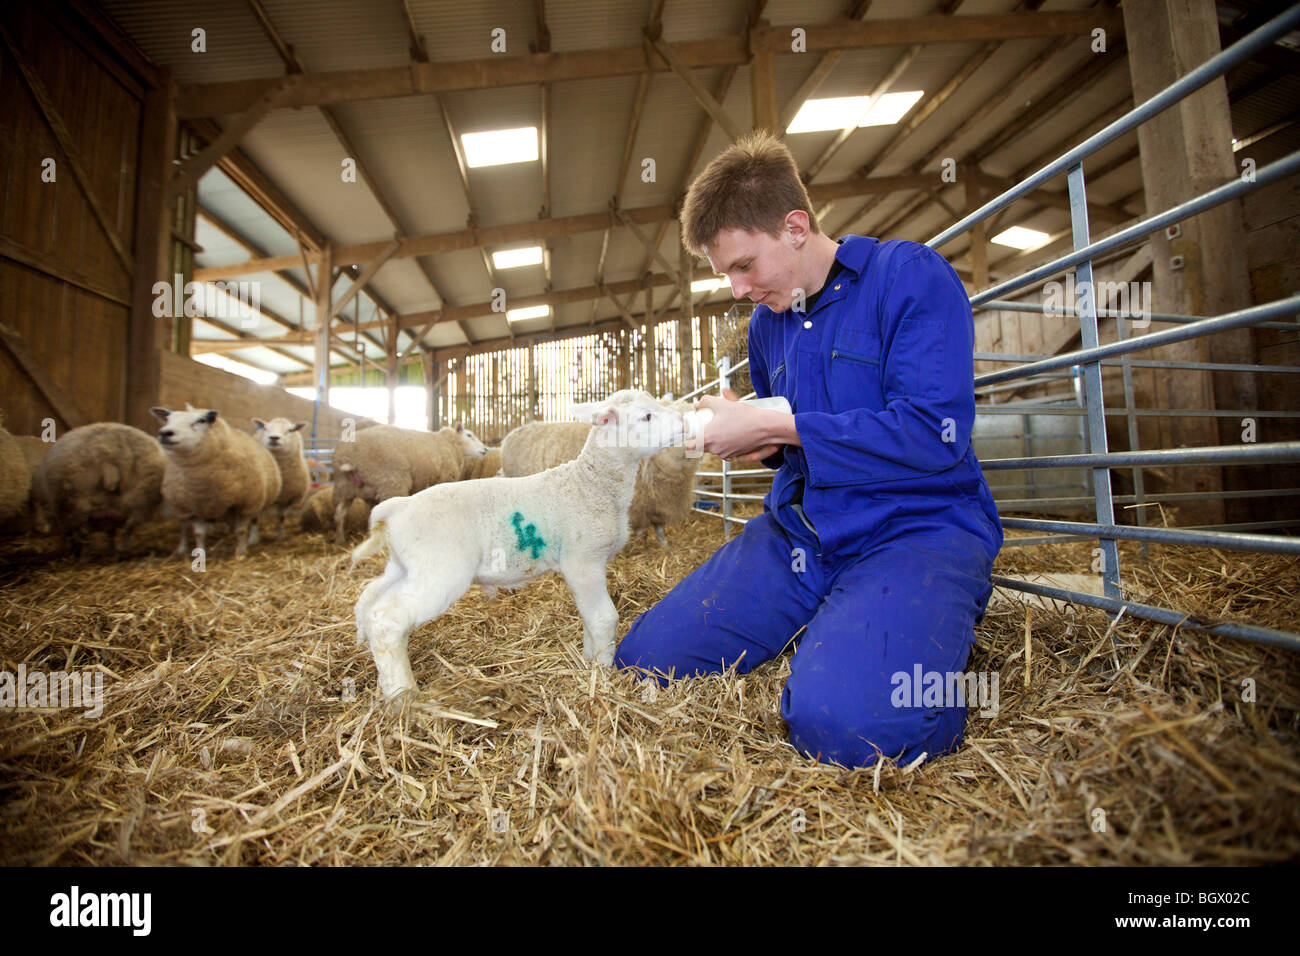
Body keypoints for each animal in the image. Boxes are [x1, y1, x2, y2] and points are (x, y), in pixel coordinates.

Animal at [29, 423, 167, 557]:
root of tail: (108, 457)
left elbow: (68, 535)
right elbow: (110, 531)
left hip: (76, 503)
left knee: (83, 532)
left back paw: (84, 556)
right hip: (142, 498)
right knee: (130, 524)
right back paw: (119, 549)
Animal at [151, 406, 282, 559]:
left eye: (201, 420)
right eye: (167, 419)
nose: (165, 433)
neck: (201, 481)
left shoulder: (246, 505)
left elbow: (241, 530)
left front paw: (241, 552)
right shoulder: (193, 507)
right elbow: (198, 533)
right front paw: (200, 553)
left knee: (252, 521)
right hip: (180, 506)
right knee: (184, 527)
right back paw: (182, 548)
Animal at [332, 423, 488, 545]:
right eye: (469, 435)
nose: (486, 449)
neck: (450, 444)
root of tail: (350, 458)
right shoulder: (444, 479)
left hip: (347, 489)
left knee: (339, 515)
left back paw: (340, 541)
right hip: (391, 482)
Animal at [501, 414, 700, 548]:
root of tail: (511, 435)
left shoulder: (657, 505)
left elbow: (659, 530)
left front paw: (665, 547)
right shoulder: (637, 505)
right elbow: (641, 531)